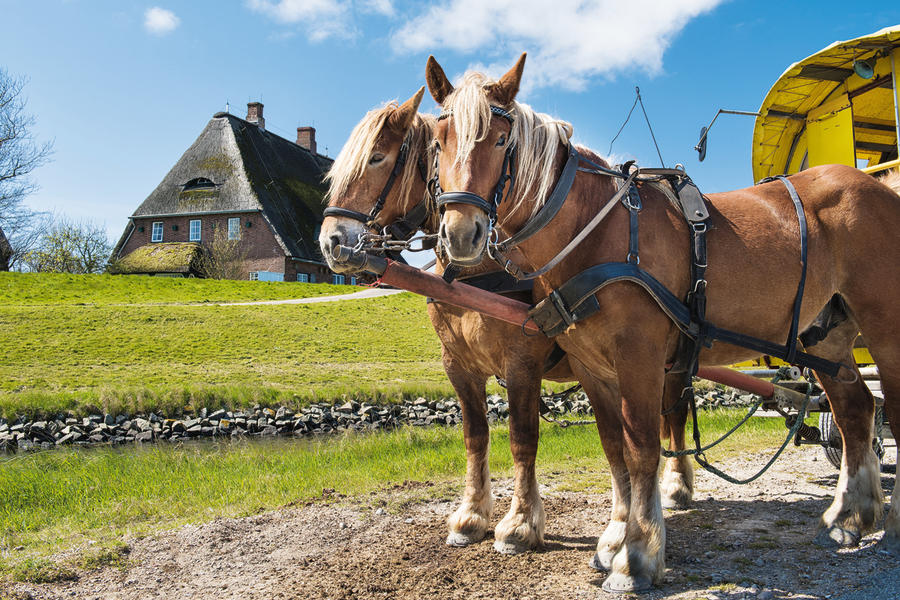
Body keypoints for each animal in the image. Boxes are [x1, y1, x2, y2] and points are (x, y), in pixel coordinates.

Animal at [316, 88, 696, 556]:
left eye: (377, 157)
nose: (331, 241)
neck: (475, 277)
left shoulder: (522, 365)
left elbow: (522, 437)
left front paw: (520, 523)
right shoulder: (458, 367)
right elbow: (476, 436)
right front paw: (471, 515)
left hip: (665, 362)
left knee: (673, 417)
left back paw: (676, 486)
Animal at [428, 54, 900, 592]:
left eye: (501, 140)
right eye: (437, 140)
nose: (460, 235)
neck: (598, 231)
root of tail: (878, 187)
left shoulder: (639, 359)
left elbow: (642, 451)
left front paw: (636, 555)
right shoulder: (593, 367)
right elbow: (615, 450)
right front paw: (615, 537)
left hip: (885, 324)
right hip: (824, 338)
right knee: (855, 409)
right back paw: (851, 516)